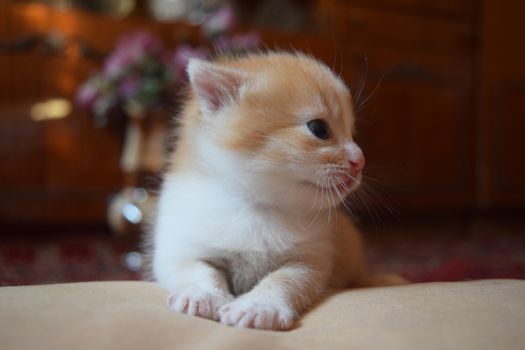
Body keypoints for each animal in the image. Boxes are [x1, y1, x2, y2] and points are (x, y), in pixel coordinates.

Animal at [151, 52, 406, 330]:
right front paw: (203, 295)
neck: (256, 205)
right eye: (319, 129)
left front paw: (259, 307)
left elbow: (283, 282)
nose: (360, 161)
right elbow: (199, 271)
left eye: (352, 133)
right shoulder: (179, 249)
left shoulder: (308, 262)